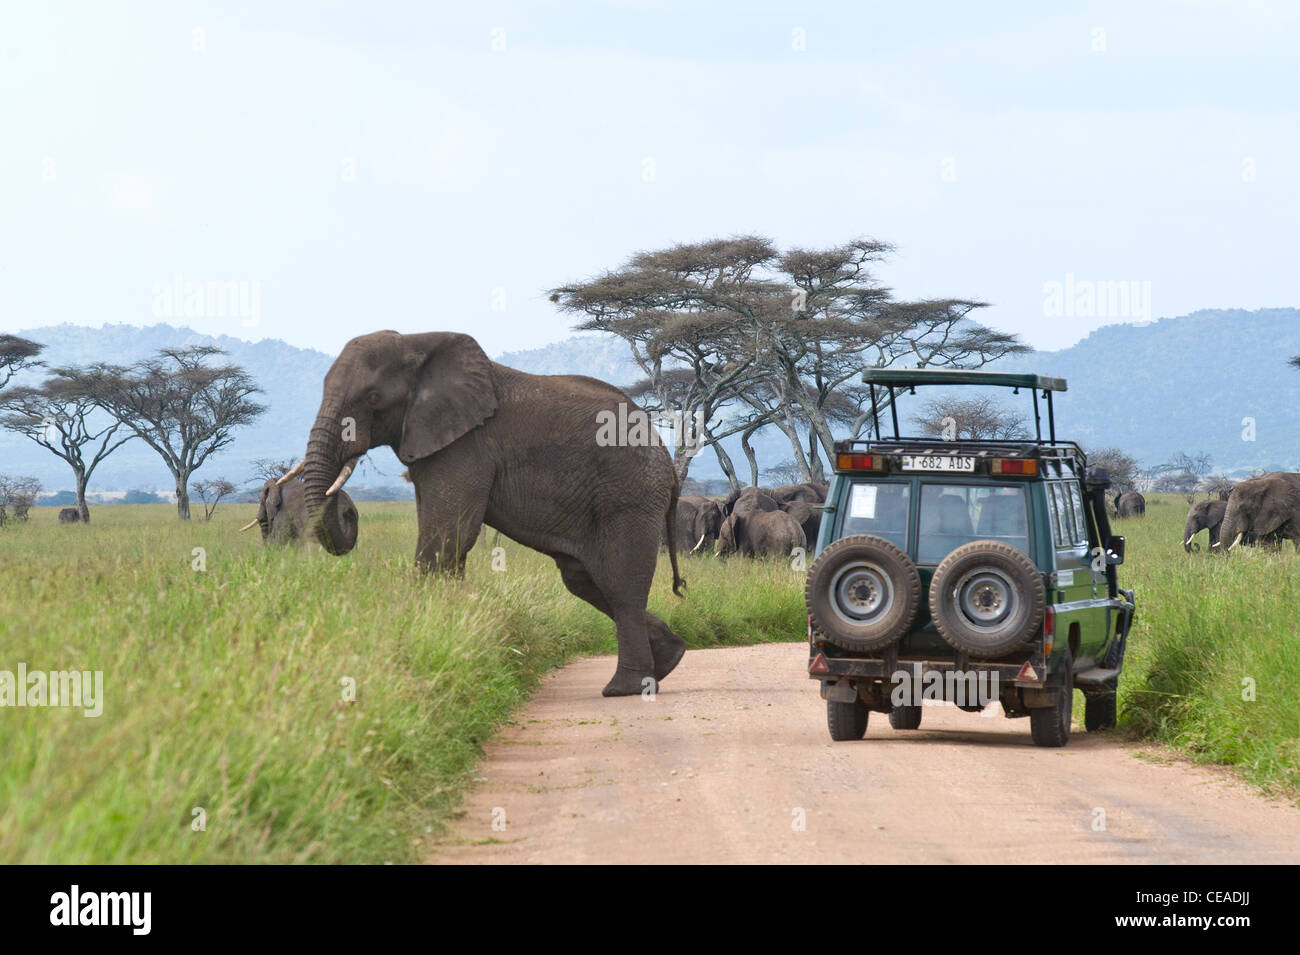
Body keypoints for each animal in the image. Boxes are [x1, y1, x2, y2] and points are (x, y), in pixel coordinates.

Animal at [289, 332, 686, 696]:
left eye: (373, 398)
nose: (347, 510)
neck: (417, 342)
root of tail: (667, 459)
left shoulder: (467, 444)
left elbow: (446, 537)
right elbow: (445, 537)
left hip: (630, 494)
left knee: (620, 585)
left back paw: (624, 688)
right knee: (585, 579)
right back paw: (670, 659)